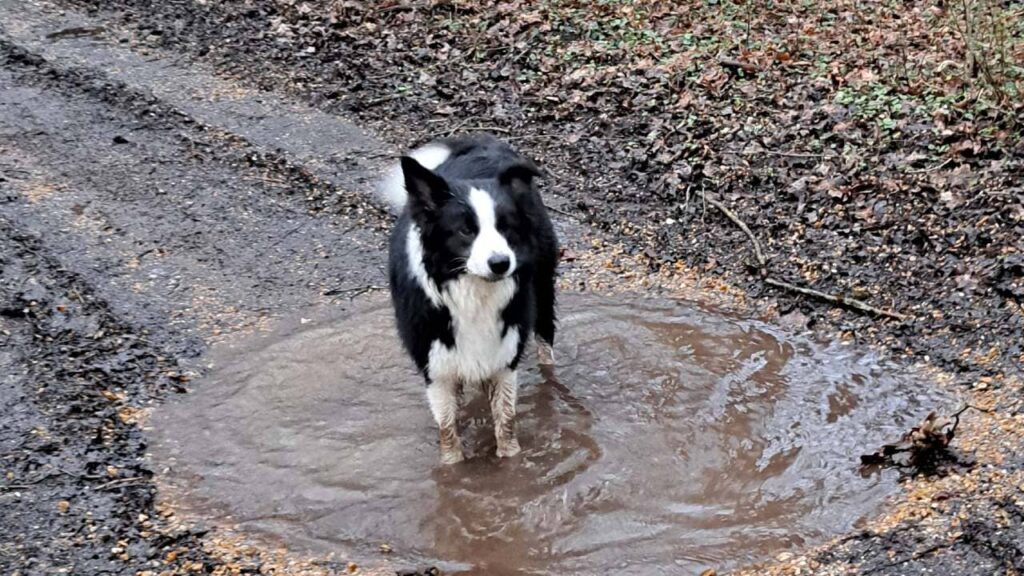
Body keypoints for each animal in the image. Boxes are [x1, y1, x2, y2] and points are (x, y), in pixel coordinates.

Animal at [382, 133, 561, 461]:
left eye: (505, 227)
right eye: (465, 230)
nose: (501, 263)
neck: (473, 293)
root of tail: (483, 141)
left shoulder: (504, 358)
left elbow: (506, 427)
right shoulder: (436, 369)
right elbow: (448, 434)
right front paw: (453, 467)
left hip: (542, 290)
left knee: (545, 344)